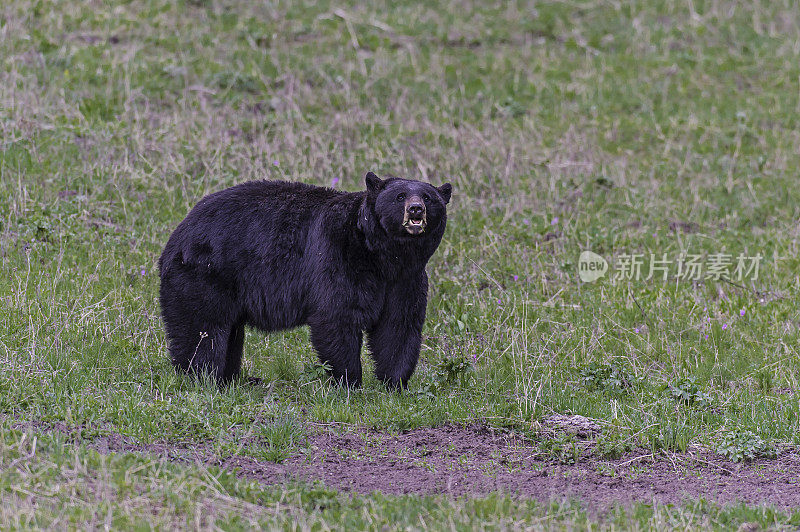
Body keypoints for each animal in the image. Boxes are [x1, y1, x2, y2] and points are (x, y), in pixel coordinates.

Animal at [159, 172, 454, 388]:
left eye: (428, 197)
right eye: (399, 195)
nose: (415, 210)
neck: (383, 256)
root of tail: (176, 237)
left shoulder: (406, 279)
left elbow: (398, 326)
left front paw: (394, 383)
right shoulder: (338, 256)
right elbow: (337, 315)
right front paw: (350, 381)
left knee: (229, 332)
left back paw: (232, 379)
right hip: (204, 274)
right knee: (202, 329)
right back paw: (204, 377)